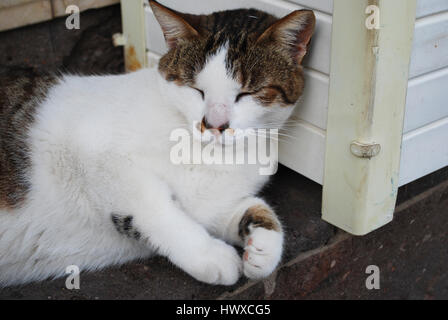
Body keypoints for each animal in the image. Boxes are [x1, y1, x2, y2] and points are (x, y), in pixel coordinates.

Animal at [0, 0, 316, 288]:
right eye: (196, 89)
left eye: (247, 93)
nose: (214, 125)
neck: (210, 155)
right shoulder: (87, 152)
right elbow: (154, 206)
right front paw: (211, 256)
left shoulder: (214, 204)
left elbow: (255, 210)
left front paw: (263, 251)